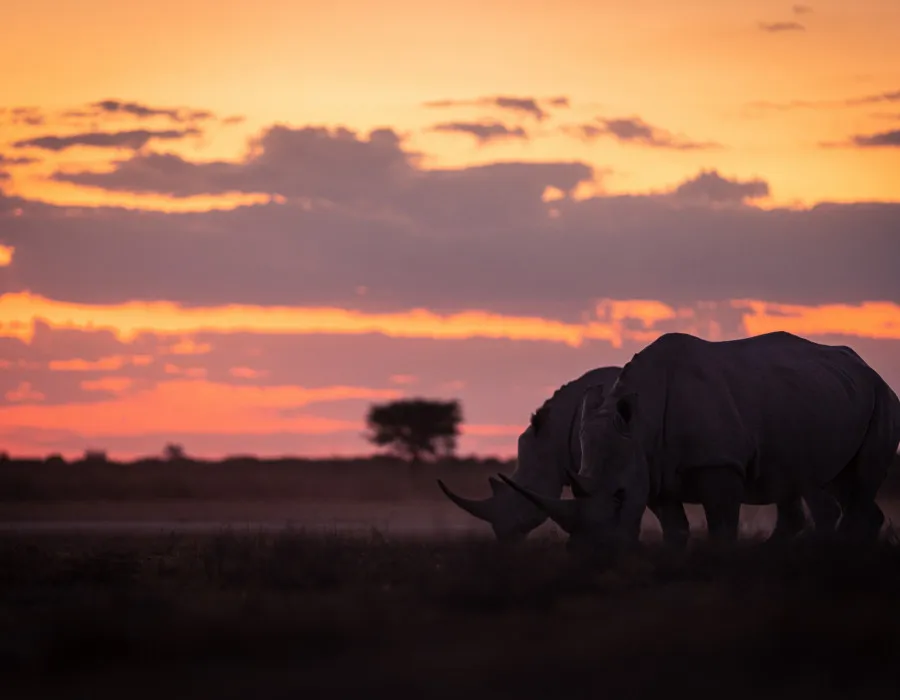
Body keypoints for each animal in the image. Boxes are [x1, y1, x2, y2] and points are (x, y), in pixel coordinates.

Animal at [506, 332, 900, 549]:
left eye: (618, 496)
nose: (586, 554)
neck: (641, 420)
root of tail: (867, 368)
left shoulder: (718, 464)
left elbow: (722, 529)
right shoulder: (652, 469)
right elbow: (675, 530)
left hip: (881, 397)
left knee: (857, 483)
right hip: (824, 395)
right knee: (833, 481)